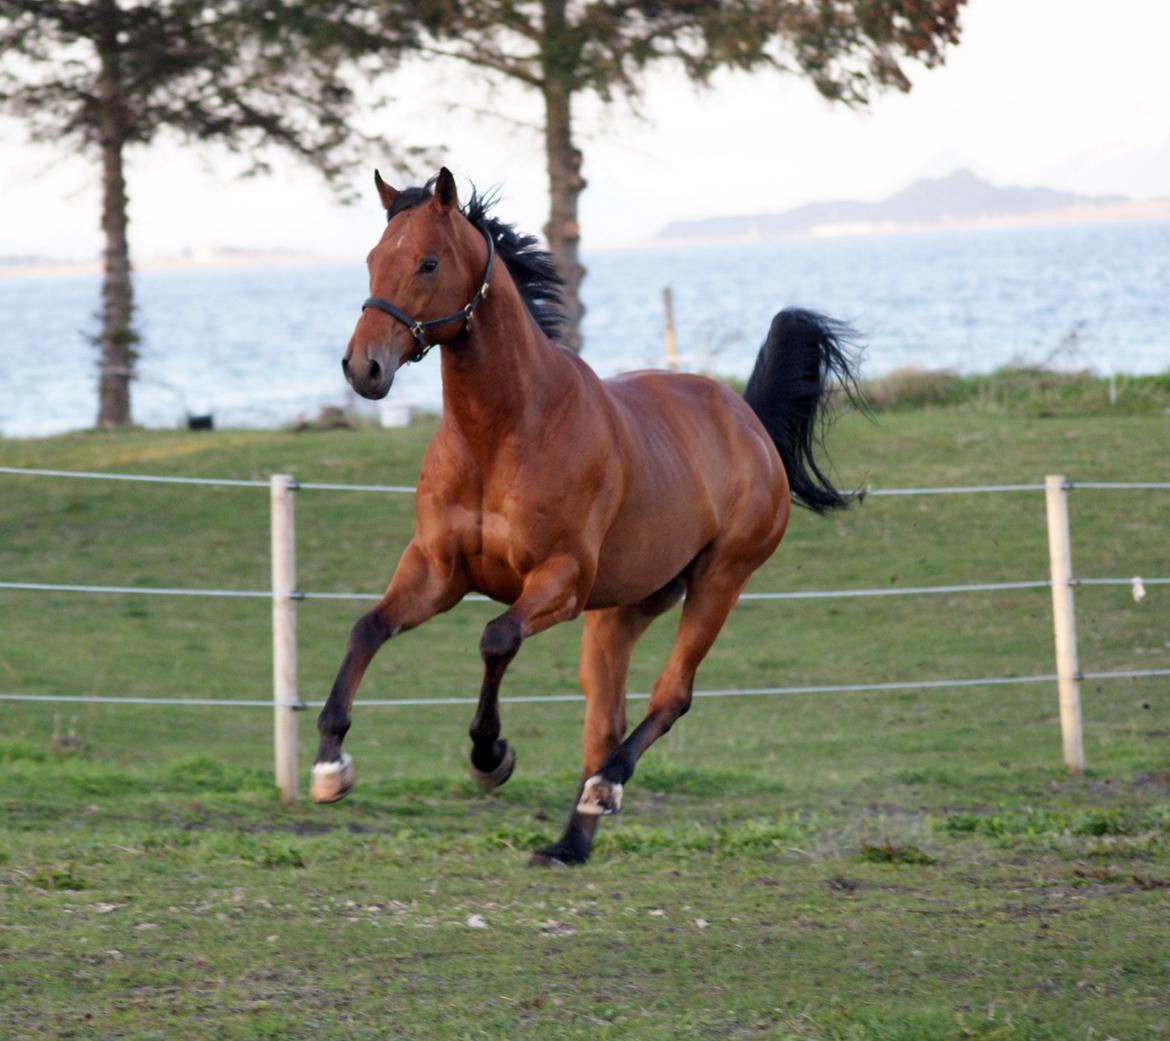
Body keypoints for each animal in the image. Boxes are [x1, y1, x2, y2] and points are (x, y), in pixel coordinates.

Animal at [311, 170, 861, 865]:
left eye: (428, 262)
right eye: (373, 258)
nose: (364, 368)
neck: (503, 433)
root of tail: (748, 420)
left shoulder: (560, 580)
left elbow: (496, 638)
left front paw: (490, 756)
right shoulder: (437, 570)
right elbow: (367, 629)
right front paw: (330, 766)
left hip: (719, 582)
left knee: (670, 697)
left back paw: (605, 787)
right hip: (622, 611)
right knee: (605, 719)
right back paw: (569, 843)